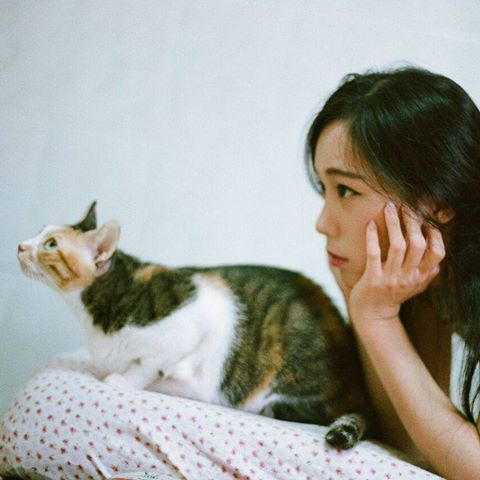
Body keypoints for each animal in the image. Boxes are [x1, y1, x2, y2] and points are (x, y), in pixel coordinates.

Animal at [17, 201, 374, 449]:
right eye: (39, 231)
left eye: (51, 244)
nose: (20, 245)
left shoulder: (189, 329)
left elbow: (149, 364)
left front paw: (124, 380)